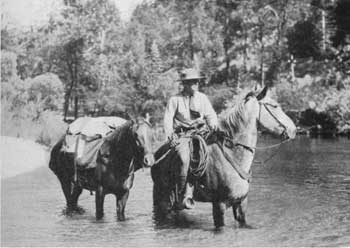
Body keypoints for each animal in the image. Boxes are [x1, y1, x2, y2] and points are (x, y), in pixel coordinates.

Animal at [152, 87, 296, 229]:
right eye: (275, 106)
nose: (294, 129)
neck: (233, 155)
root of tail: (157, 154)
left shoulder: (241, 202)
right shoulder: (219, 204)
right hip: (160, 196)